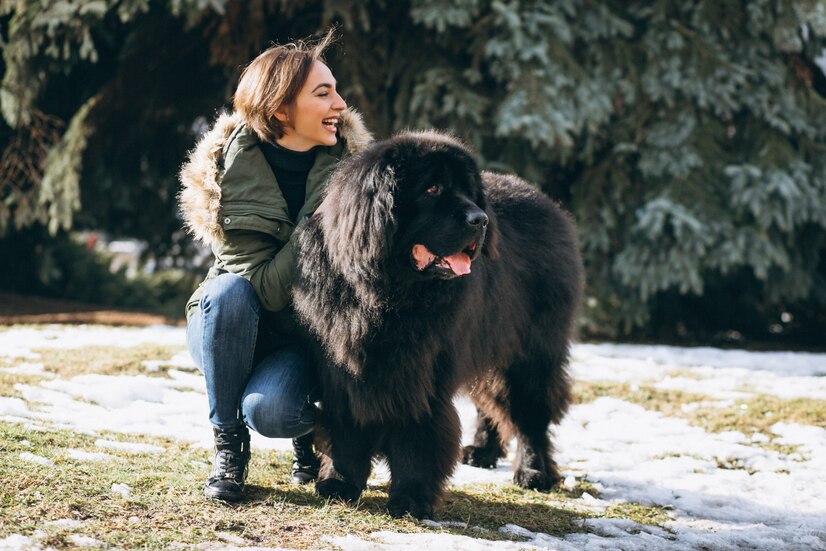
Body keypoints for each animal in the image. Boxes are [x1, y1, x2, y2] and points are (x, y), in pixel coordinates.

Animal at [292, 132, 584, 520]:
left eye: (469, 191)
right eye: (432, 189)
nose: (480, 219)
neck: (387, 295)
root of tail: (548, 203)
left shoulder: (425, 375)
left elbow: (418, 438)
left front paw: (412, 499)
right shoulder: (344, 367)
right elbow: (348, 429)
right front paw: (339, 483)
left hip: (530, 352)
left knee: (529, 412)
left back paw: (534, 471)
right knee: (491, 399)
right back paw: (483, 451)